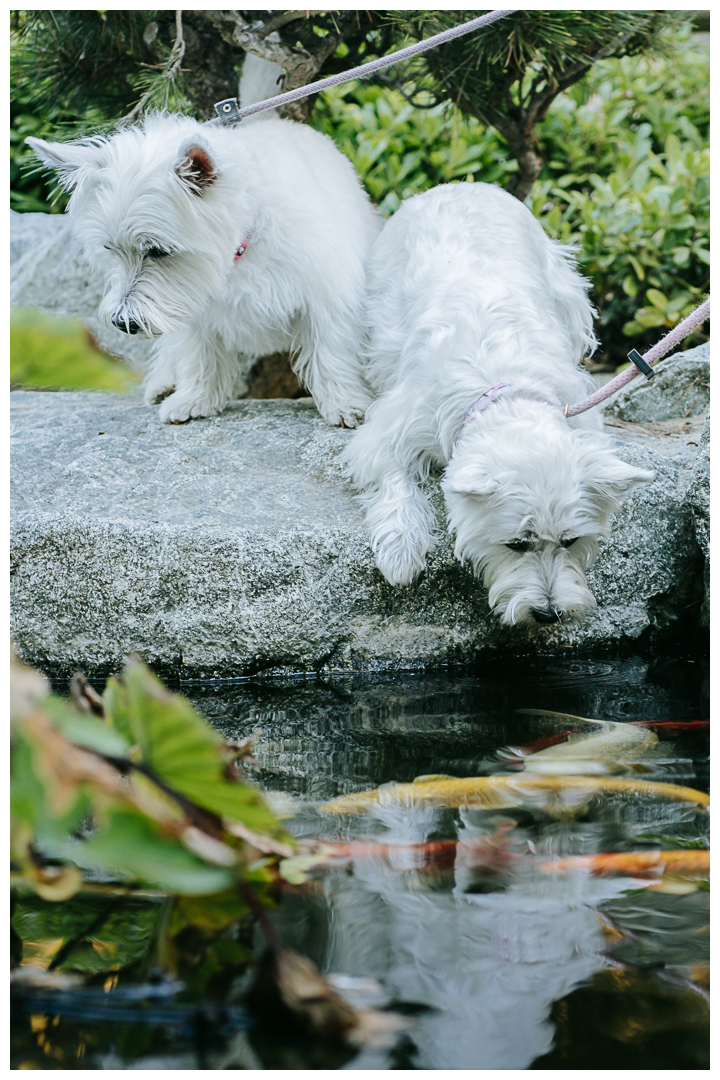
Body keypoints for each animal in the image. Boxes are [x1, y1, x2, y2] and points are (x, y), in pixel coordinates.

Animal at [26, 112, 382, 425]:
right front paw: (193, 400)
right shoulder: (190, 306)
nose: (123, 323)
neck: (240, 251)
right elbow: (199, 355)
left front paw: (346, 404)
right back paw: (163, 383)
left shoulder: (327, 292)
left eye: (158, 250)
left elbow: (331, 350)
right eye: (109, 249)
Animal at [345, 183, 656, 626]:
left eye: (571, 540)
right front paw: (401, 552)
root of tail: (462, 183)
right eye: (515, 544)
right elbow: (395, 478)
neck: (504, 393)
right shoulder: (391, 428)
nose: (548, 614)